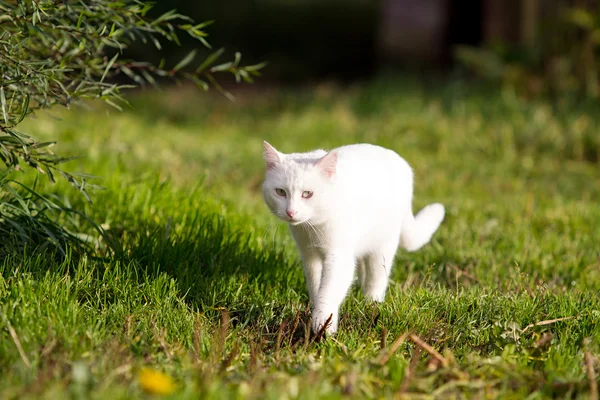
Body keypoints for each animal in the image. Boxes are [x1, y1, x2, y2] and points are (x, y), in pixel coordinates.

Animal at [262, 141, 446, 334]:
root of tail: (402, 163)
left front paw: (324, 324)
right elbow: (315, 286)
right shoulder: (309, 256)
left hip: (382, 247)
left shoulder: (339, 258)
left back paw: (371, 304)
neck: (313, 228)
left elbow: (328, 292)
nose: (291, 212)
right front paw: (316, 312)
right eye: (280, 192)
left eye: (307, 194)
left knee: (376, 279)